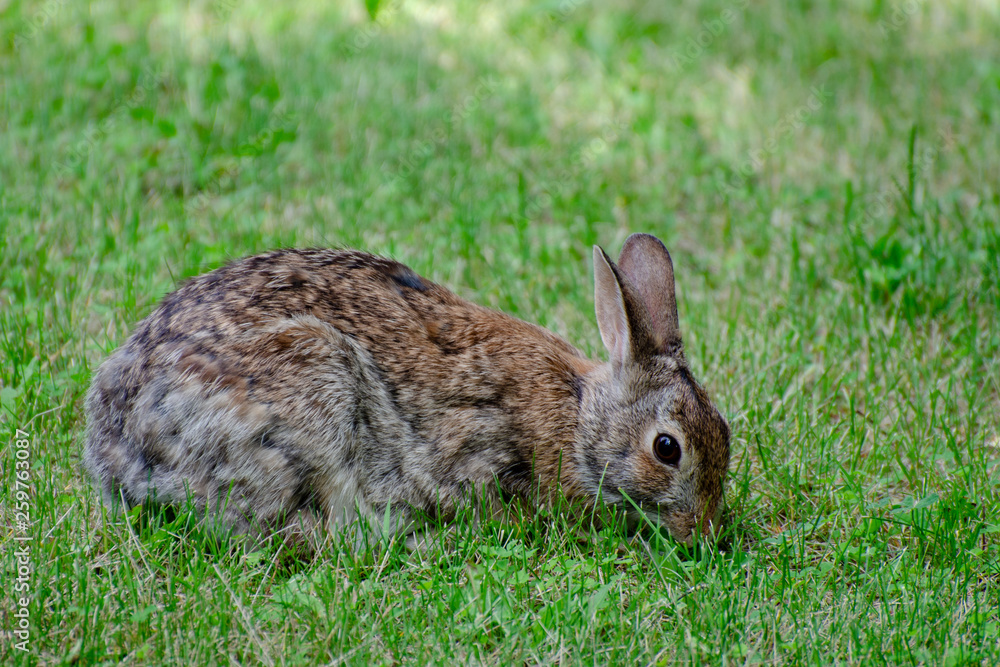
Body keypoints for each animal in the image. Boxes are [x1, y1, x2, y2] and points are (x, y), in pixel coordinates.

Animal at [84, 233, 731, 547]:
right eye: (667, 448)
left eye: (724, 431)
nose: (702, 535)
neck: (581, 420)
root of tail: (116, 453)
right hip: (312, 394)